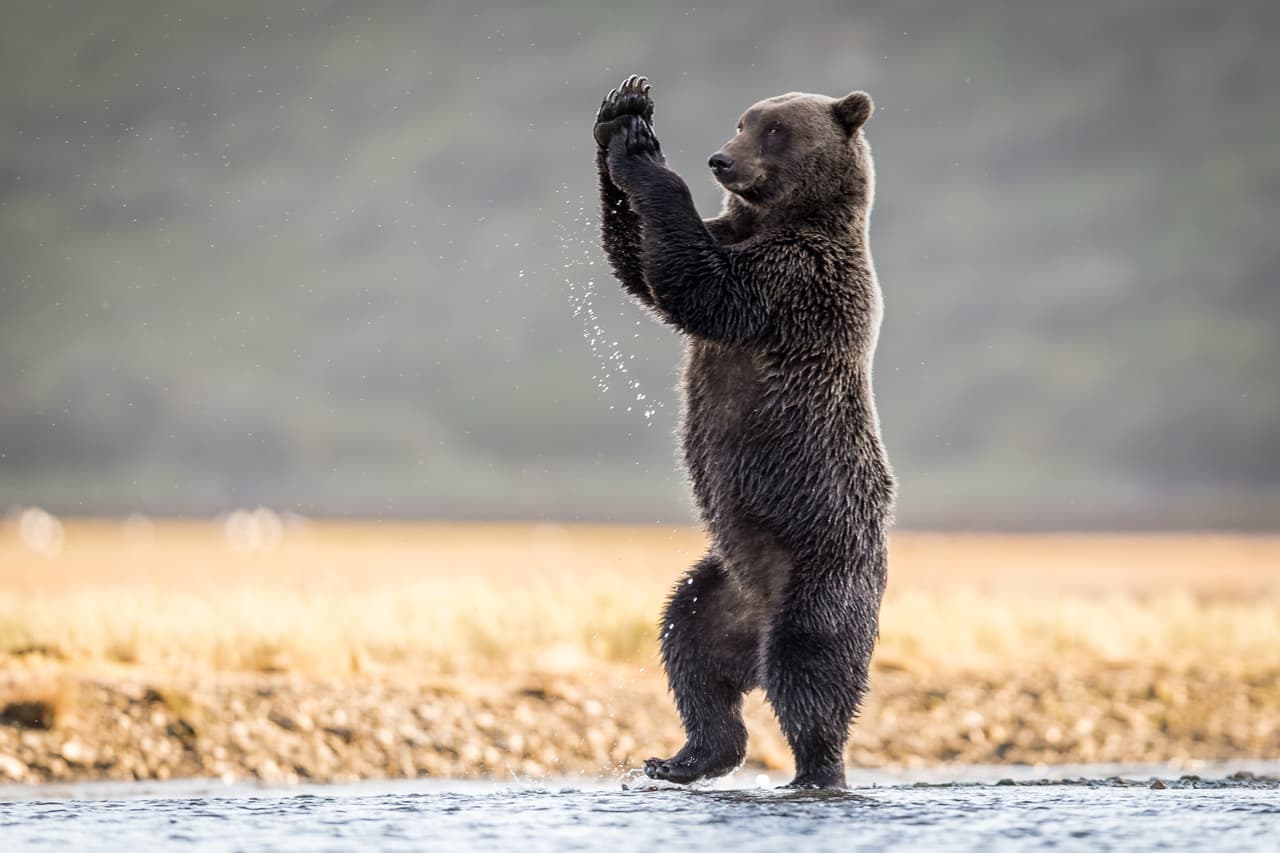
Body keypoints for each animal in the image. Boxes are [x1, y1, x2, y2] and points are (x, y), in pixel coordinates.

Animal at [592, 75, 894, 789]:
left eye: (775, 130)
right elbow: (642, 266)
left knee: (810, 670)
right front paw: (622, 115)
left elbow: (698, 286)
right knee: (688, 651)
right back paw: (684, 757)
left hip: (823, 563)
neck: (778, 220)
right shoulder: (735, 235)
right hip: (716, 584)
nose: (720, 160)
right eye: (742, 121)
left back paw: (816, 769)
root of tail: (754, 618)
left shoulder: (796, 279)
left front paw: (646, 156)